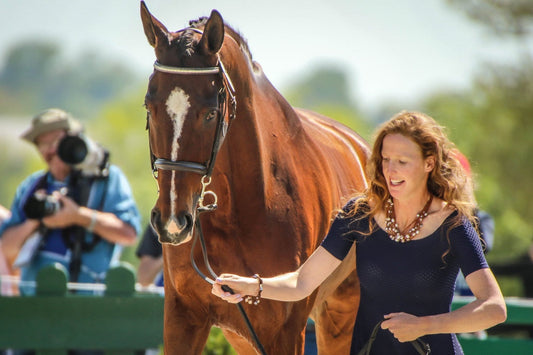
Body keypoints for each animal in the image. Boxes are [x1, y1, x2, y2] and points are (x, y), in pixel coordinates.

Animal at [139, 2, 368, 354]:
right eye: (150, 107)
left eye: (210, 113)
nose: (172, 222)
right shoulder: (183, 317)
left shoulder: (286, 332)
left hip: (340, 316)